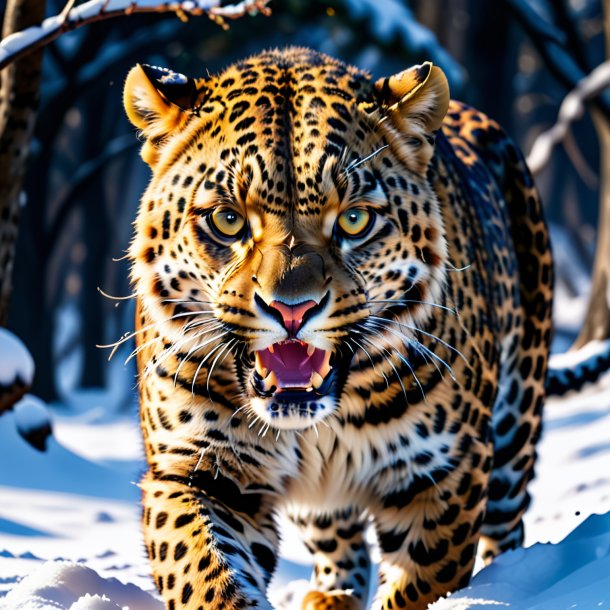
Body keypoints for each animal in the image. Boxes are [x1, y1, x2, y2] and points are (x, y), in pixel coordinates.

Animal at [122, 47, 552, 608]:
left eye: (353, 221)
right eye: (227, 220)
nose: (291, 309)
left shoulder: (444, 474)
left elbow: (423, 584)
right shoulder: (197, 472)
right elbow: (204, 576)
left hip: (514, 430)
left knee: (508, 526)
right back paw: (331, 595)